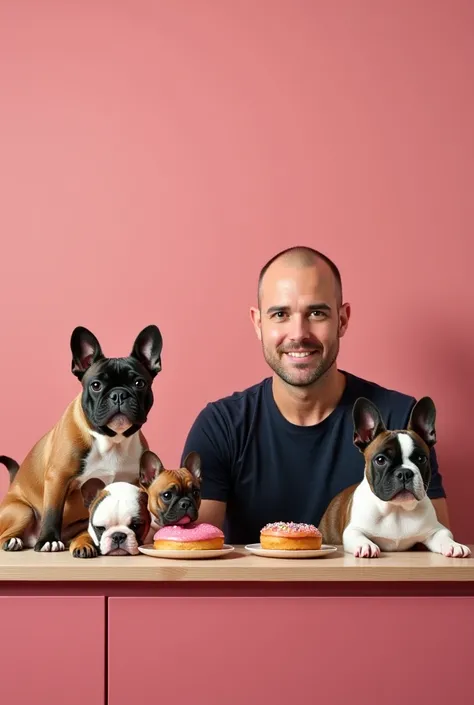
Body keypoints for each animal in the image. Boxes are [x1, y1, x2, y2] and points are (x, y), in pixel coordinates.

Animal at [318, 398, 470, 560]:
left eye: (421, 459)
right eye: (380, 460)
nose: (404, 473)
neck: (396, 509)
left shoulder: (436, 529)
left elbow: (444, 535)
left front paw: (454, 545)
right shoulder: (353, 529)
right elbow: (358, 535)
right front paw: (366, 545)